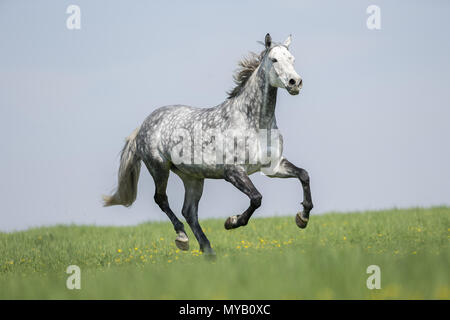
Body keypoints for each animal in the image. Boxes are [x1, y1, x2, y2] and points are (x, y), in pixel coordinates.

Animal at [103, 33, 312, 256]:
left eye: (292, 59)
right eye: (274, 60)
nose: (295, 83)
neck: (252, 122)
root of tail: (143, 125)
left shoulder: (273, 167)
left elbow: (303, 175)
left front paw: (302, 219)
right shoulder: (233, 172)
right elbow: (256, 198)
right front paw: (231, 222)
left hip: (192, 177)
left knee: (189, 211)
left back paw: (207, 249)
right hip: (159, 168)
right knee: (161, 199)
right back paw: (183, 238)